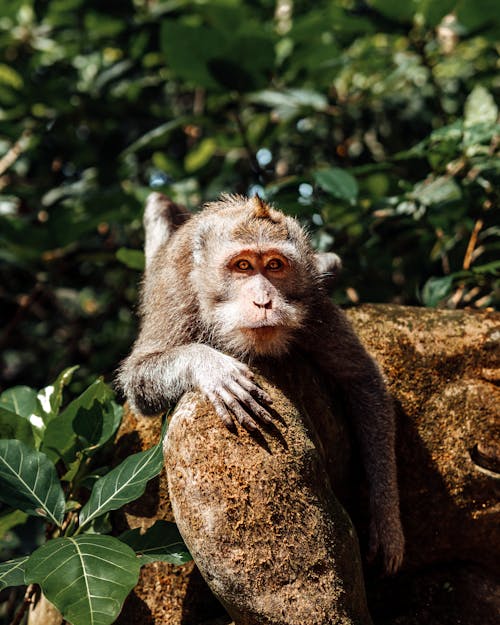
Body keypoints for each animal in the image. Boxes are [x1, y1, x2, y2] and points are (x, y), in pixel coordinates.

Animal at [118, 191, 406, 576]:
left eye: (274, 266)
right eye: (242, 266)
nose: (264, 301)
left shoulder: (313, 302)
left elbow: (362, 378)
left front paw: (386, 522)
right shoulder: (178, 293)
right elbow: (138, 378)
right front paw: (212, 366)